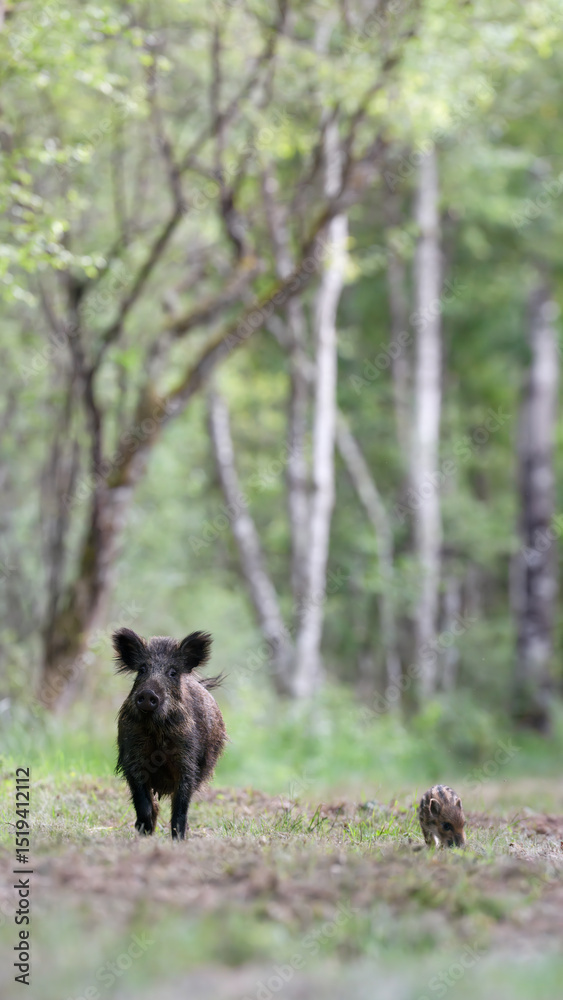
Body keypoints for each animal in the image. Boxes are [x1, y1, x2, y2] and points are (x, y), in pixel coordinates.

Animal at [113, 627, 227, 839]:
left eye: (173, 672)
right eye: (142, 669)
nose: (148, 693)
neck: (156, 732)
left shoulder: (187, 763)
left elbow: (180, 806)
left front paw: (178, 839)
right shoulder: (133, 759)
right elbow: (143, 803)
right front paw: (145, 831)